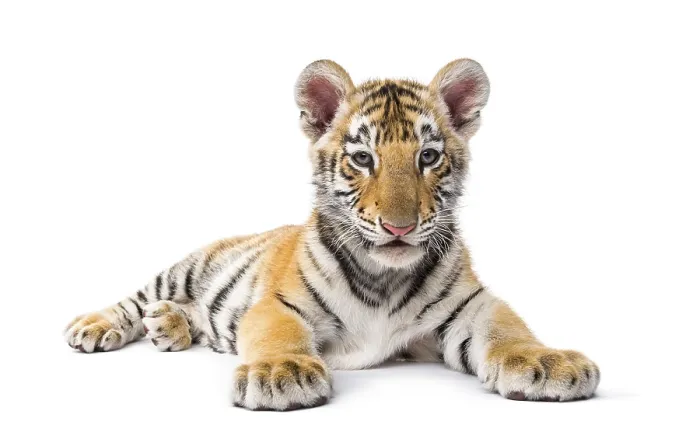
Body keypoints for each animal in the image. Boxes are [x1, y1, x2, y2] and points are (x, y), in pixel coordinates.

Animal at [64, 59, 600, 410]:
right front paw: (282, 373)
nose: (400, 226)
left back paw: (168, 326)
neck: (384, 276)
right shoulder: (279, 305)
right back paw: (97, 326)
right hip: (187, 267)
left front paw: (551, 363)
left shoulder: (471, 305)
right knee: (135, 298)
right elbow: (278, 333)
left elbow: (509, 328)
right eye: (362, 158)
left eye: (428, 157)